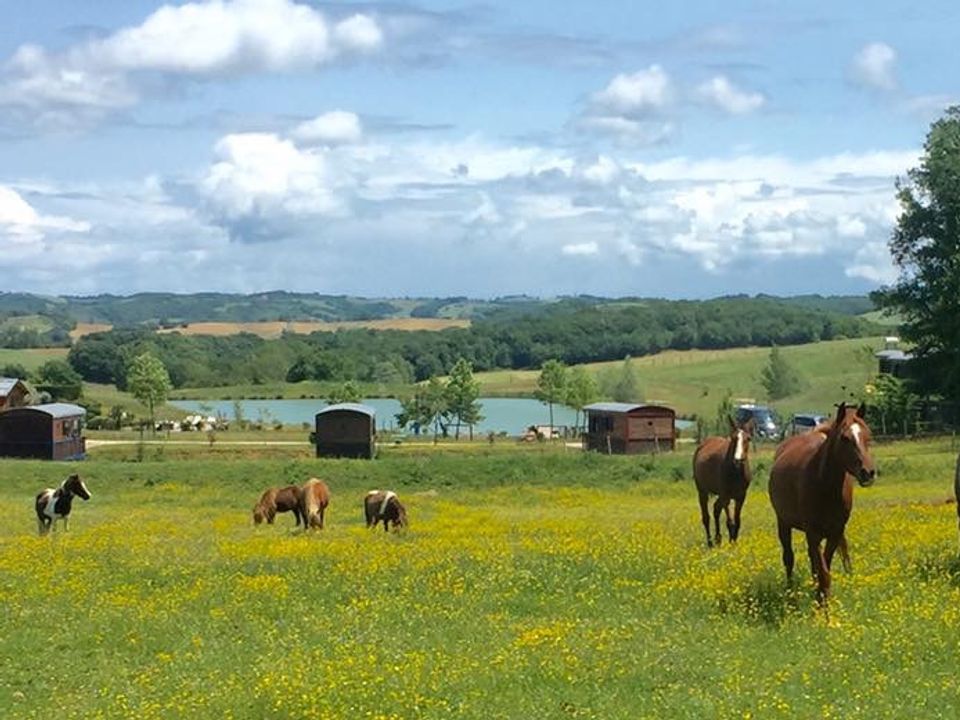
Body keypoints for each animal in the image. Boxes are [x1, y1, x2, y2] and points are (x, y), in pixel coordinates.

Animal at [692, 416, 752, 544]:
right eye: (733, 438)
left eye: (748, 439)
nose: (738, 460)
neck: (735, 472)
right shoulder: (725, 496)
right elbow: (730, 522)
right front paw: (731, 542)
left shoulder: (741, 497)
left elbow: (737, 521)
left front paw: (734, 542)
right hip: (702, 492)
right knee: (706, 517)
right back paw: (710, 542)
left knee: (716, 509)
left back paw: (718, 539)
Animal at [768, 402, 872, 600]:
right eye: (845, 438)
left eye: (868, 436)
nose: (868, 472)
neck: (825, 486)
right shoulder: (813, 533)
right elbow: (823, 572)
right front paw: (822, 604)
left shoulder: (835, 532)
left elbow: (825, 567)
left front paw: (821, 597)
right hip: (783, 522)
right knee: (788, 557)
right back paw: (790, 591)